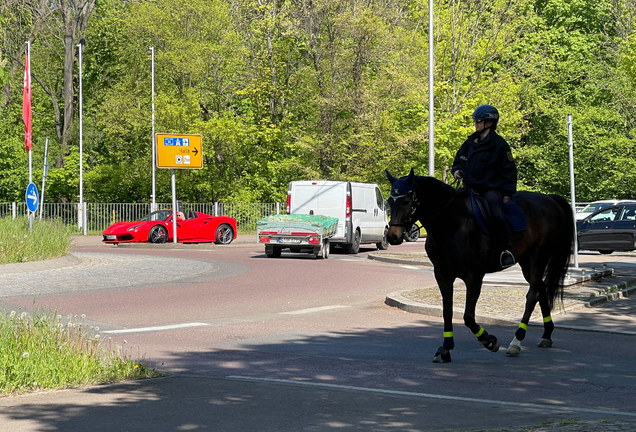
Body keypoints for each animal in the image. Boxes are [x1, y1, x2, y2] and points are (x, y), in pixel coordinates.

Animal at [386, 169, 572, 362]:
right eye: (390, 201)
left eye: (406, 201)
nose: (392, 236)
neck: (452, 224)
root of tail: (549, 199)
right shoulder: (442, 275)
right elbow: (447, 311)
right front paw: (445, 348)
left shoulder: (473, 276)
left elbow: (468, 316)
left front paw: (488, 341)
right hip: (526, 261)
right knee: (540, 289)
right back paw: (546, 335)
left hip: (539, 257)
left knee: (532, 295)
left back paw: (516, 341)